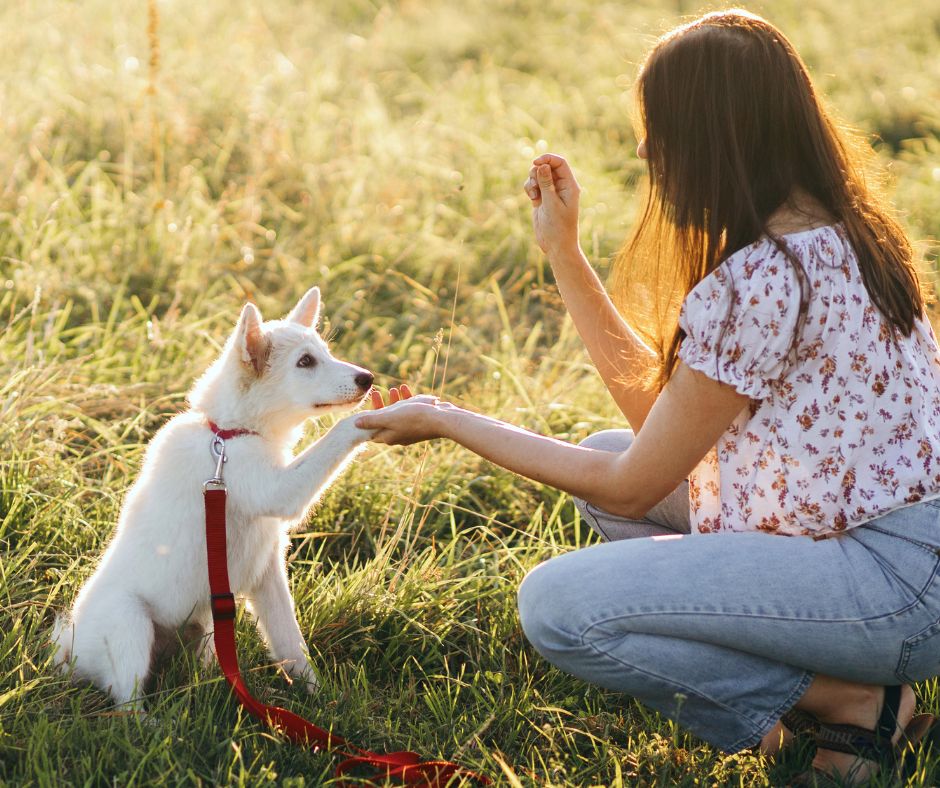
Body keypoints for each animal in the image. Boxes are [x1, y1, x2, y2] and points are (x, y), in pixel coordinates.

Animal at [52, 288, 374, 708]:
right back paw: (152, 719)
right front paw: (391, 412)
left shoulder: (268, 572)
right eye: (305, 362)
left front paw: (321, 698)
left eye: (325, 352)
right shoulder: (279, 491)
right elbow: (337, 435)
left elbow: (291, 643)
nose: (368, 379)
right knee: (126, 701)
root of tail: (70, 652)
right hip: (131, 622)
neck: (227, 435)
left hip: (204, 624)